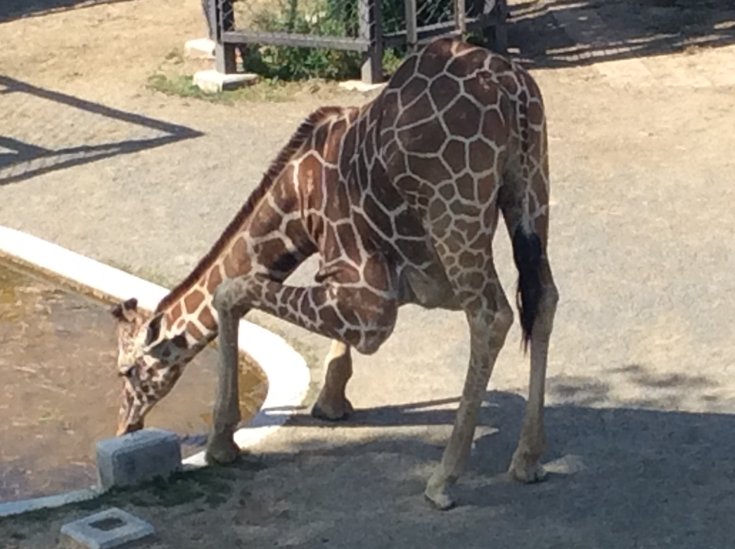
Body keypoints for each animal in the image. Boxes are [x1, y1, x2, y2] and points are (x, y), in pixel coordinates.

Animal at [111, 36, 558, 510]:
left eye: (127, 371)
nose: (124, 426)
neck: (297, 203)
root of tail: (509, 87)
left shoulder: (371, 307)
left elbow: (229, 291)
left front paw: (221, 443)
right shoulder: (361, 283)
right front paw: (330, 400)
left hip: (456, 217)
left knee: (492, 315)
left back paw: (443, 479)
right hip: (532, 187)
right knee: (544, 299)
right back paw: (527, 459)